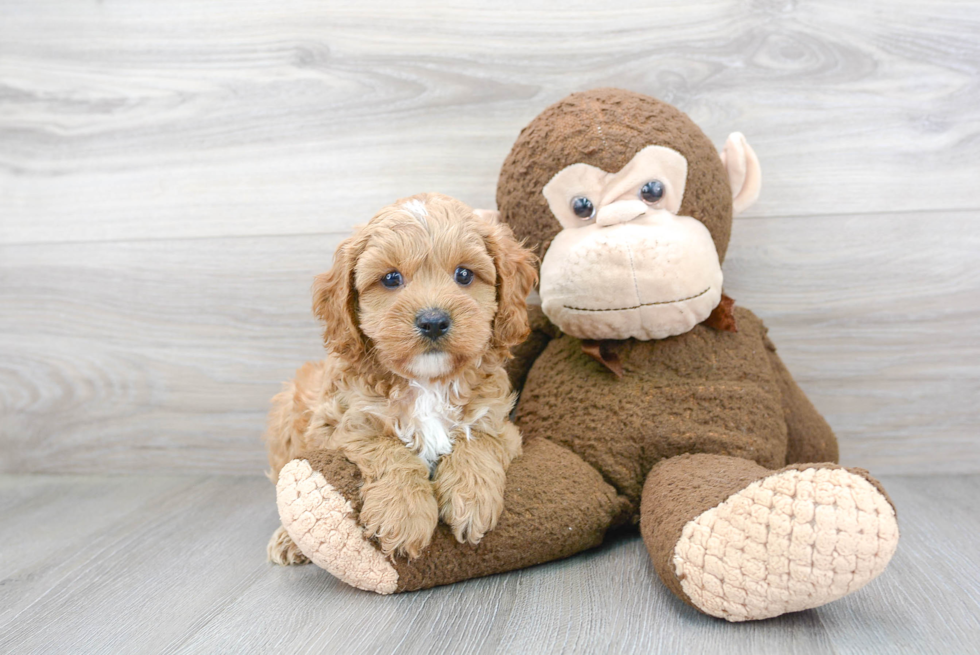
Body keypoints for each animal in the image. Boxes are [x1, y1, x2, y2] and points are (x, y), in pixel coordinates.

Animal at [264, 191, 536, 564]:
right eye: (391, 279)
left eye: (464, 274)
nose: (433, 321)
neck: (427, 384)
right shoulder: (340, 424)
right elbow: (388, 448)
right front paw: (402, 513)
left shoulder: (500, 422)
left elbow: (478, 439)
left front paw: (472, 497)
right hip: (288, 410)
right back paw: (289, 540)